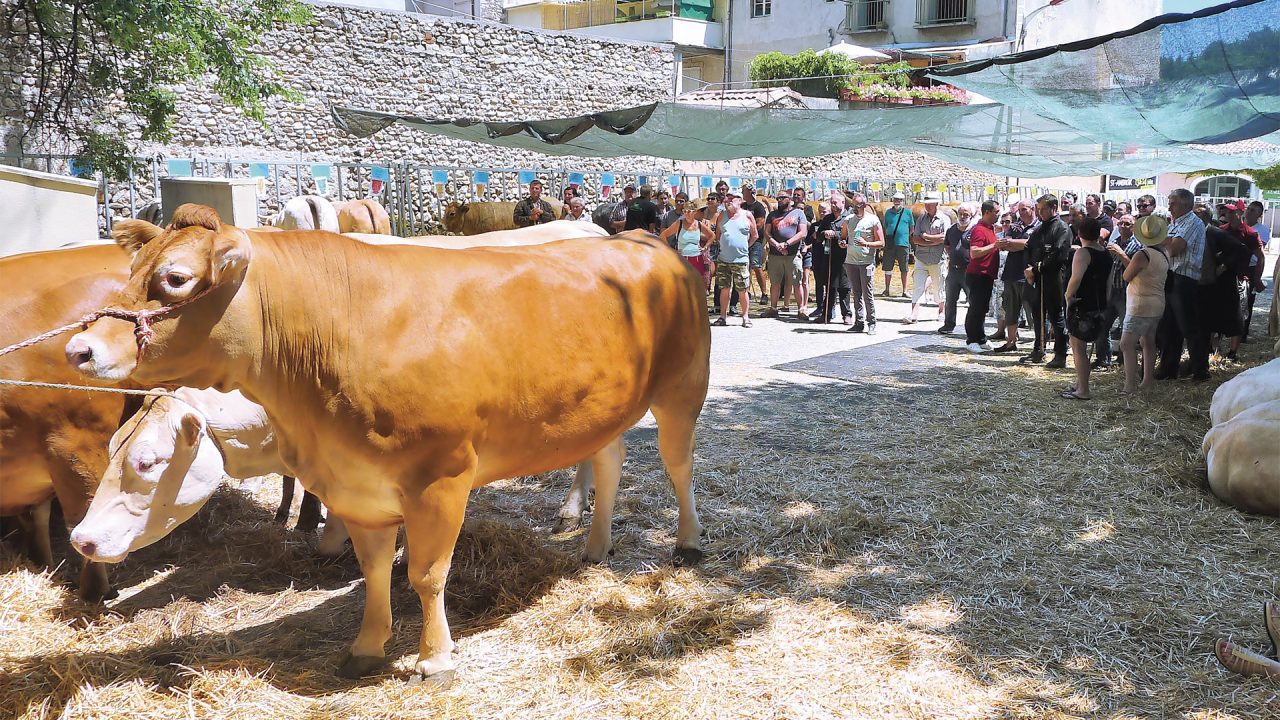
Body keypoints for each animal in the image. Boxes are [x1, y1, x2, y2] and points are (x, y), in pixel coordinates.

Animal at [67, 206, 711, 676]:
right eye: (130, 273)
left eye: (175, 279)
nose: (79, 348)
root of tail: (645, 238)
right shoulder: (356, 485)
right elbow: (375, 570)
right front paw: (366, 647)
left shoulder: (441, 478)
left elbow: (426, 573)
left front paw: (435, 658)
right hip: (600, 407)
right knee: (610, 458)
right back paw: (595, 543)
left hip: (683, 387)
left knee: (679, 465)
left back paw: (687, 542)